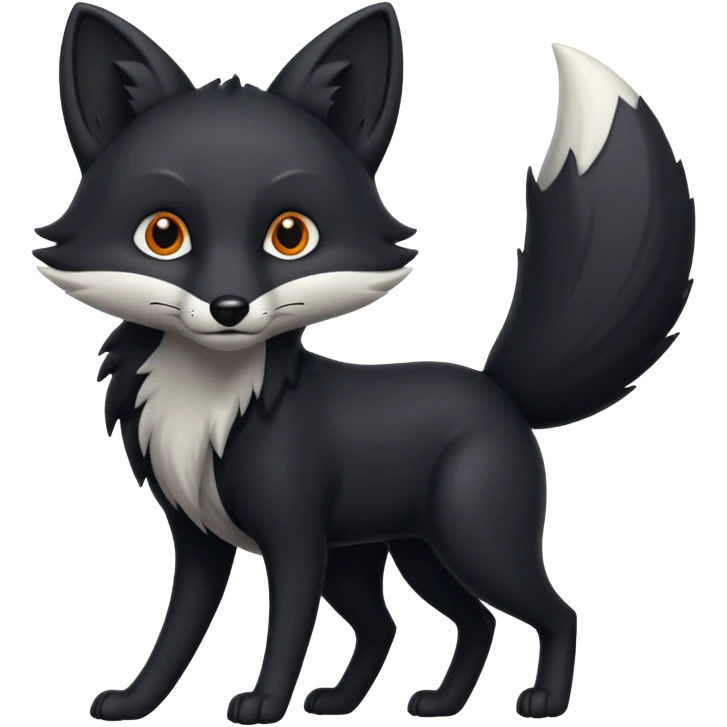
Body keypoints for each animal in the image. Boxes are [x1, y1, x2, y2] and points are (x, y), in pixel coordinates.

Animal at [33, 2, 696, 724]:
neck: (209, 397)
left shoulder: (295, 539)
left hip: (471, 539)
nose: (228, 307)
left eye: (290, 234)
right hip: (399, 555)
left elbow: (285, 629)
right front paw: (134, 702)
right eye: (162, 234)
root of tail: (497, 390)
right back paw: (406, 702)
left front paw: (264, 703)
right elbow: (176, 634)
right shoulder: (199, 540)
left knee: (551, 610)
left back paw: (543, 699)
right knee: (423, 622)